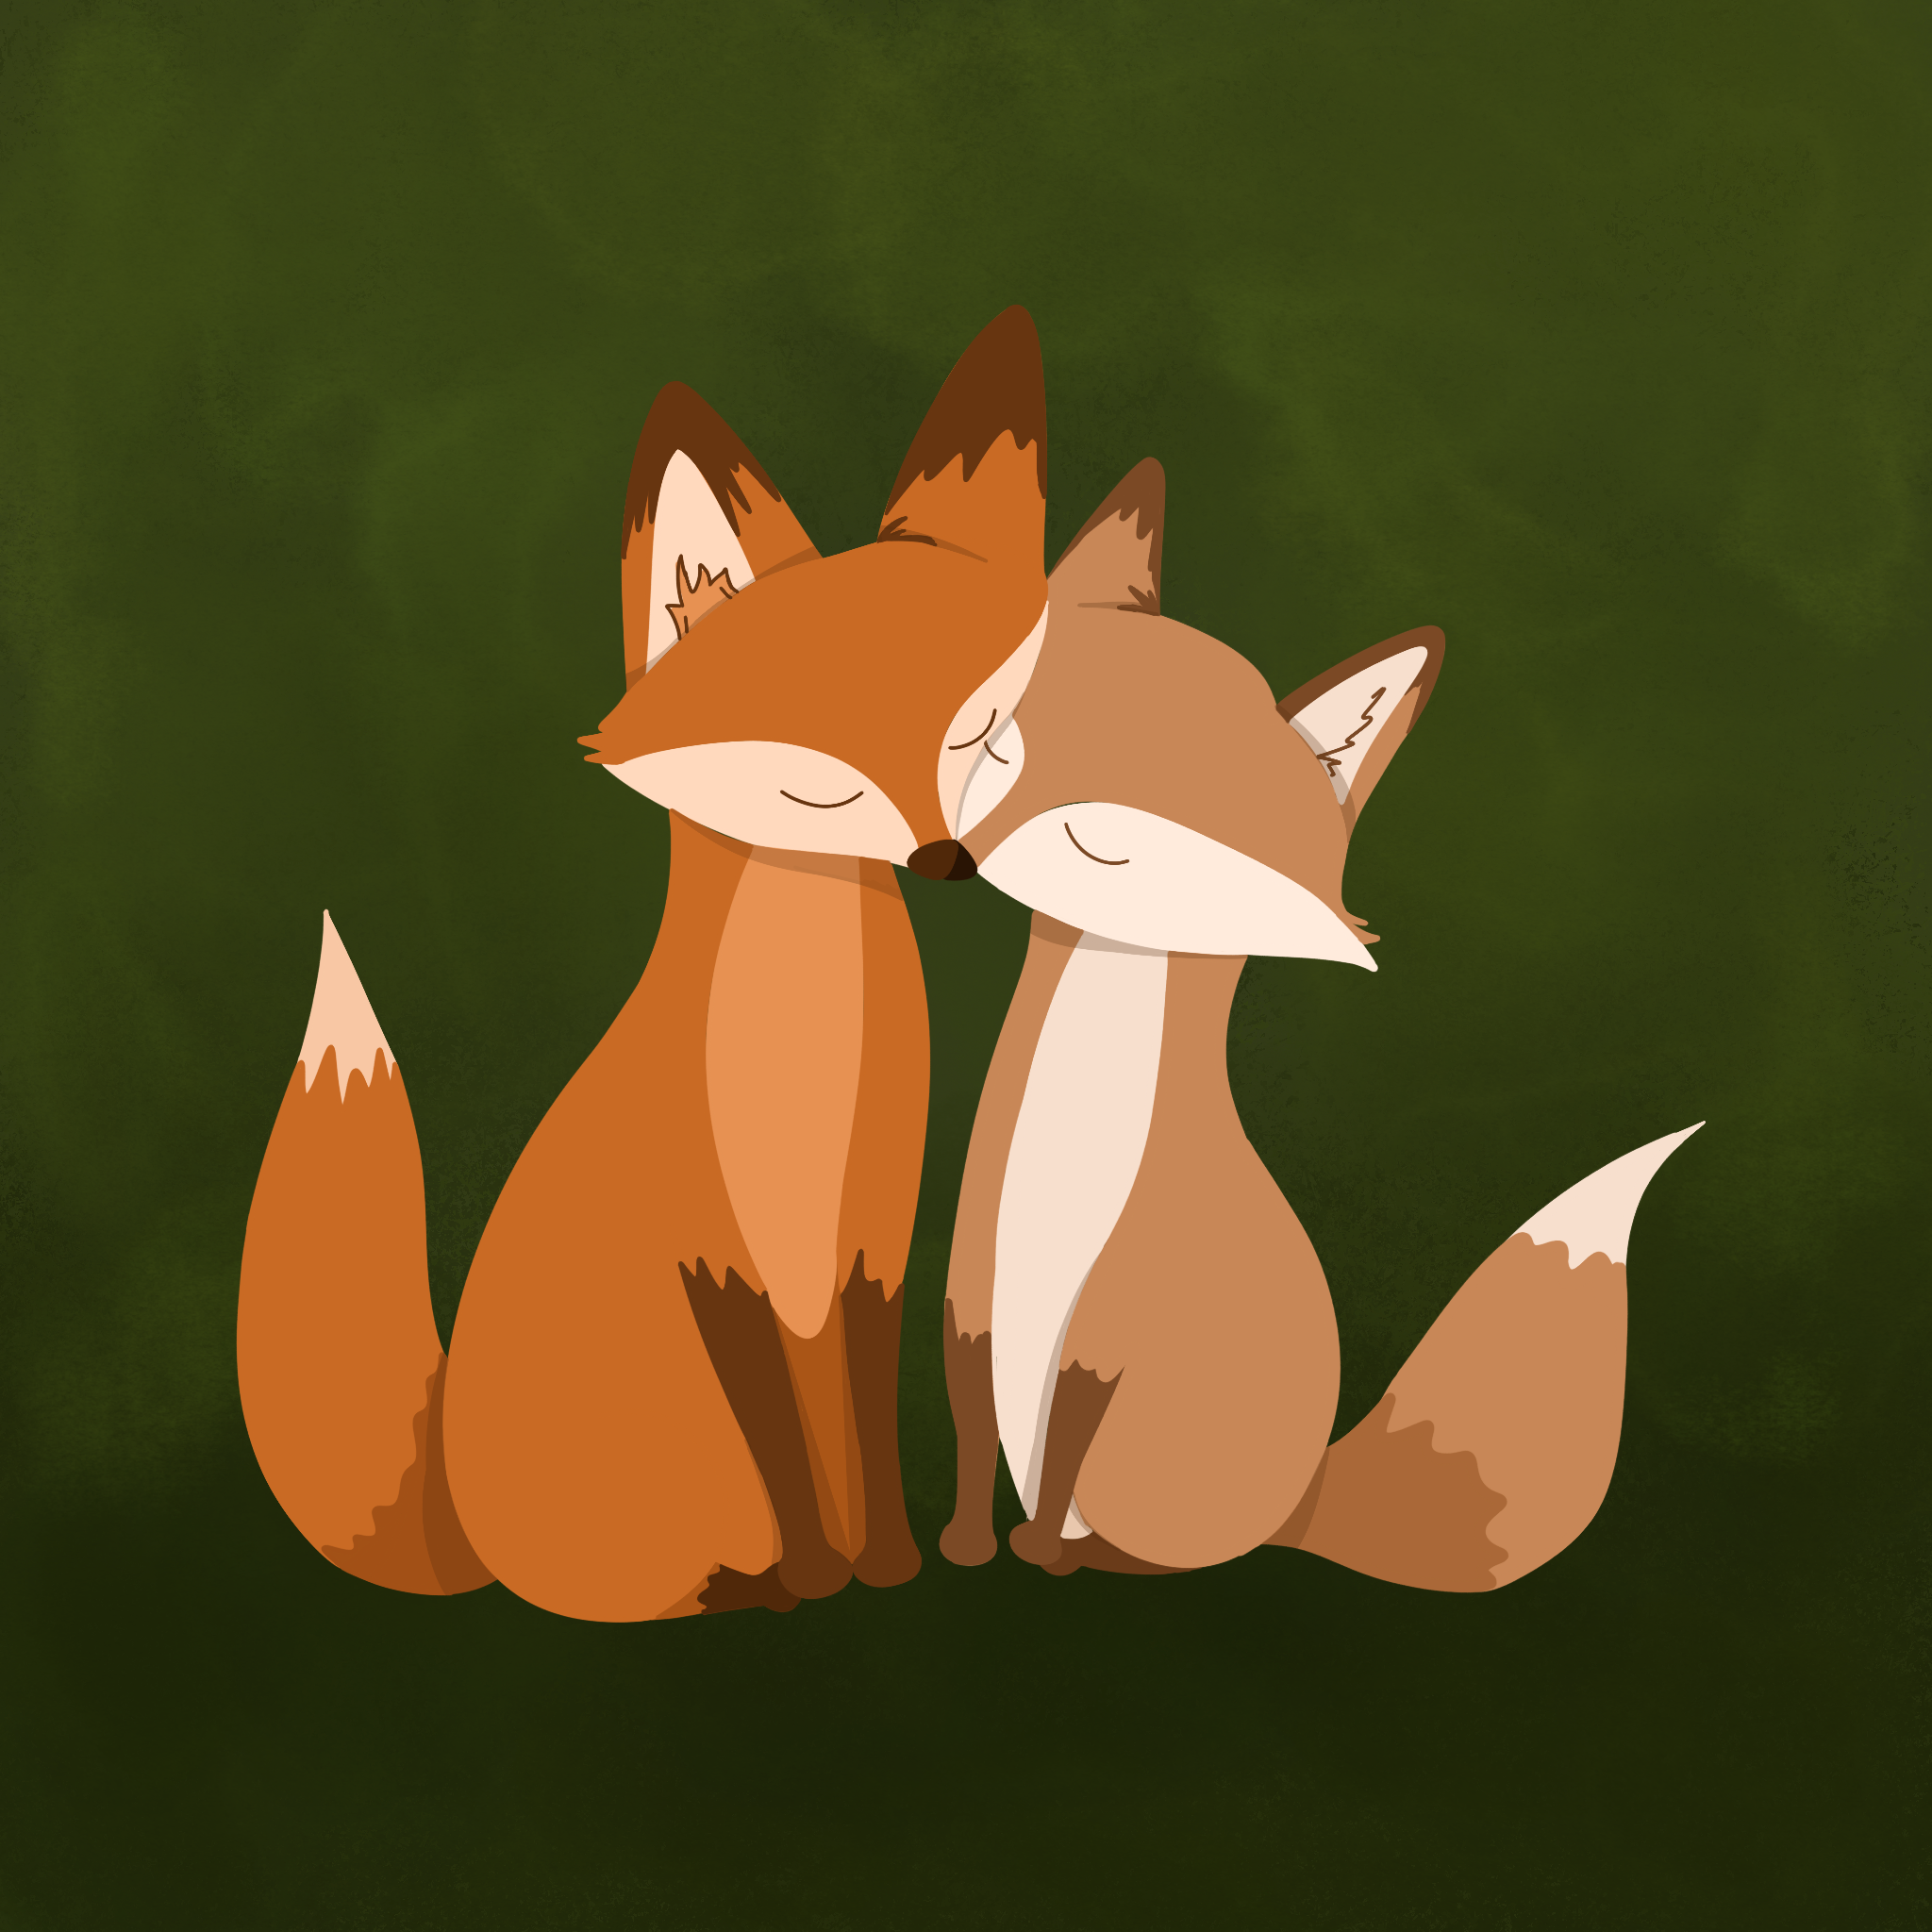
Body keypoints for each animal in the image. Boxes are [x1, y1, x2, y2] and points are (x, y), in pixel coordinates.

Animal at [238, 308, 1052, 1620]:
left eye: (975, 735)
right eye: (823, 774)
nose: (947, 861)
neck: (801, 1052)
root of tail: (449, 1509)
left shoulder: (866, 1255)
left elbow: (862, 1440)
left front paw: (883, 1563)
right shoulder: (716, 1263)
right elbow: (784, 1445)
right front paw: (820, 1577)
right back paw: (751, 1586)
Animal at [938, 458, 1700, 1586]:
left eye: (1162, 779)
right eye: (997, 737)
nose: (981, 839)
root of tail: (1306, 1494)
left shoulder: (1111, 1330)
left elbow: (1073, 1427)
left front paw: (1033, 1557)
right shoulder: (971, 1292)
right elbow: (962, 1420)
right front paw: (962, 1545)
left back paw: (1095, 1557)